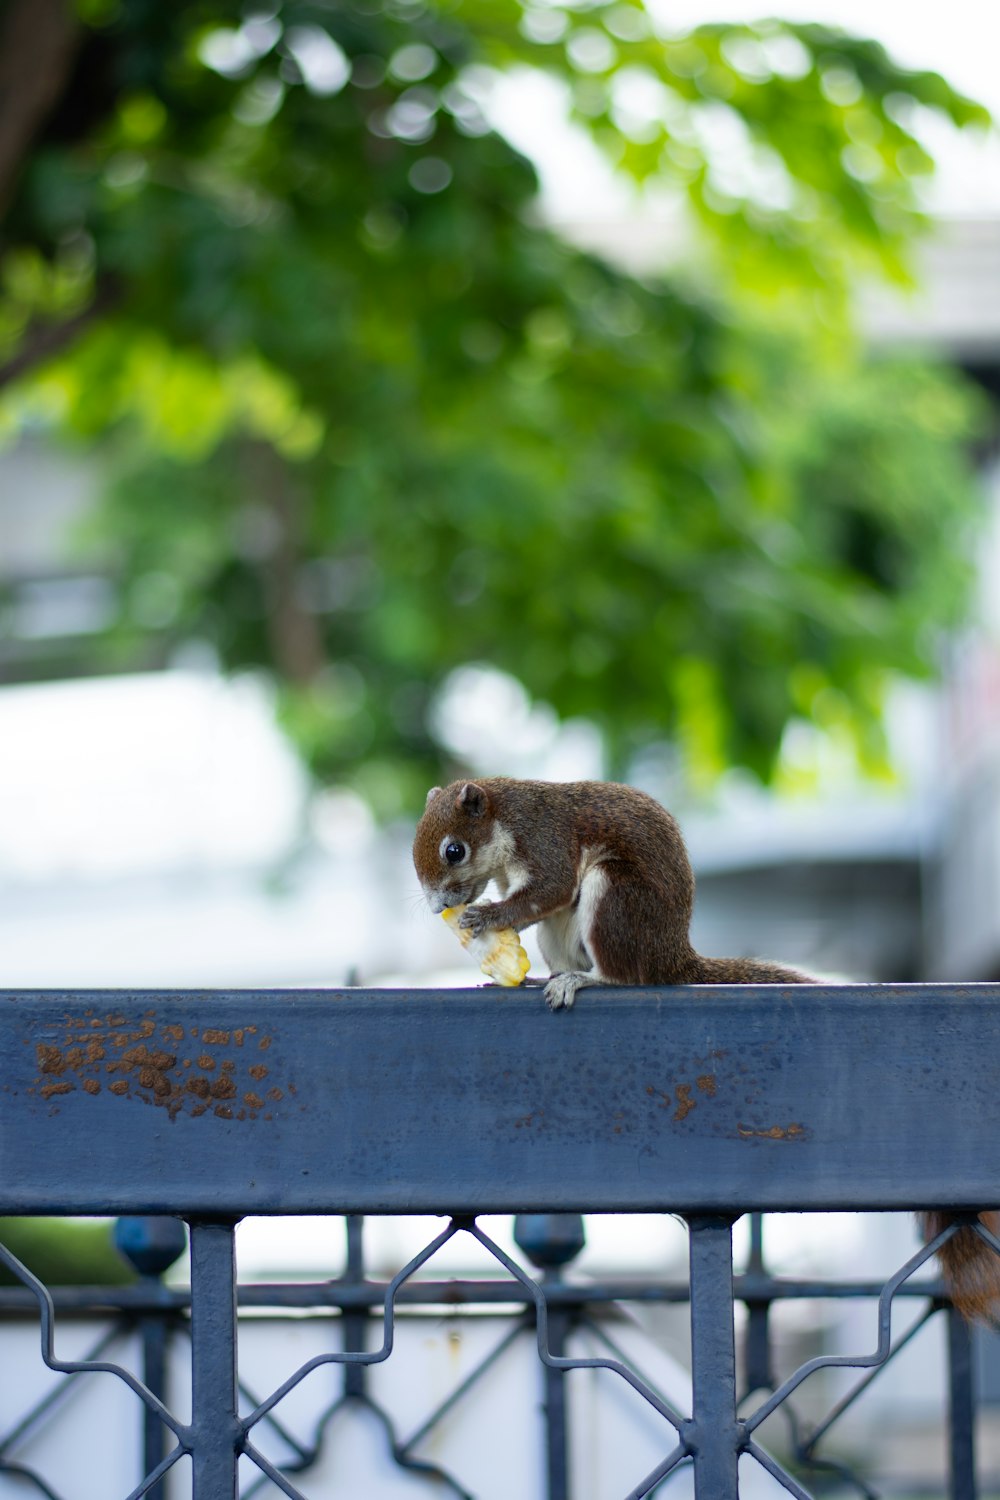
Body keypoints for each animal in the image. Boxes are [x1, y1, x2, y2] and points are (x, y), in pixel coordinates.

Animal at [413, 780, 815, 1014]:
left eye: (454, 851)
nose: (438, 908)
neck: (505, 818)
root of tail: (672, 956)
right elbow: (535, 906)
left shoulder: (544, 839)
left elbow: (552, 889)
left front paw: (484, 916)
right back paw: (542, 979)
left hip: (616, 894)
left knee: (626, 977)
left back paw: (580, 980)